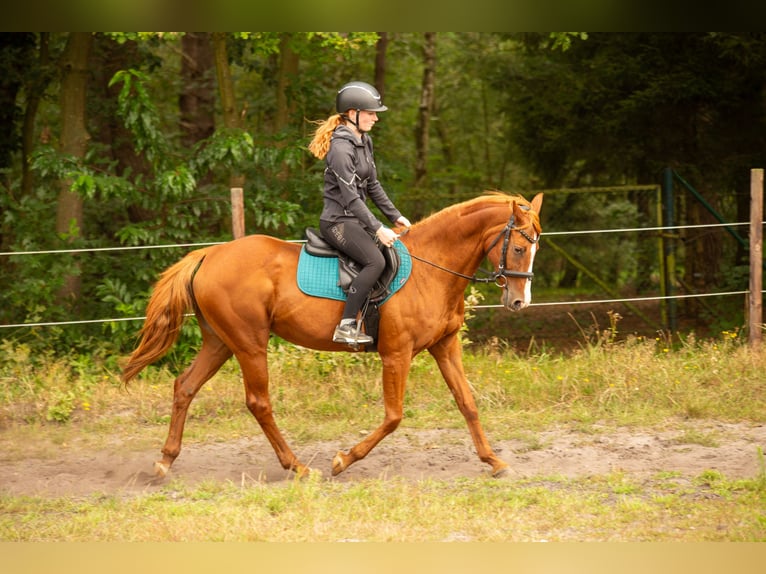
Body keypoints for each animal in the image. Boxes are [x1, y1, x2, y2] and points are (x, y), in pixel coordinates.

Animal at [123, 194, 544, 482]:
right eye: (518, 247)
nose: (519, 301)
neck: (432, 269)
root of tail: (210, 255)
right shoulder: (397, 353)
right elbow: (394, 416)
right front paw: (343, 460)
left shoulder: (445, 346)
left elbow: (467, 403)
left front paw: (494, 461)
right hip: (248, 344)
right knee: (258, 403)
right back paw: (297, 467)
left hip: (220, 342)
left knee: (185, 387)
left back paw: (165, 460)